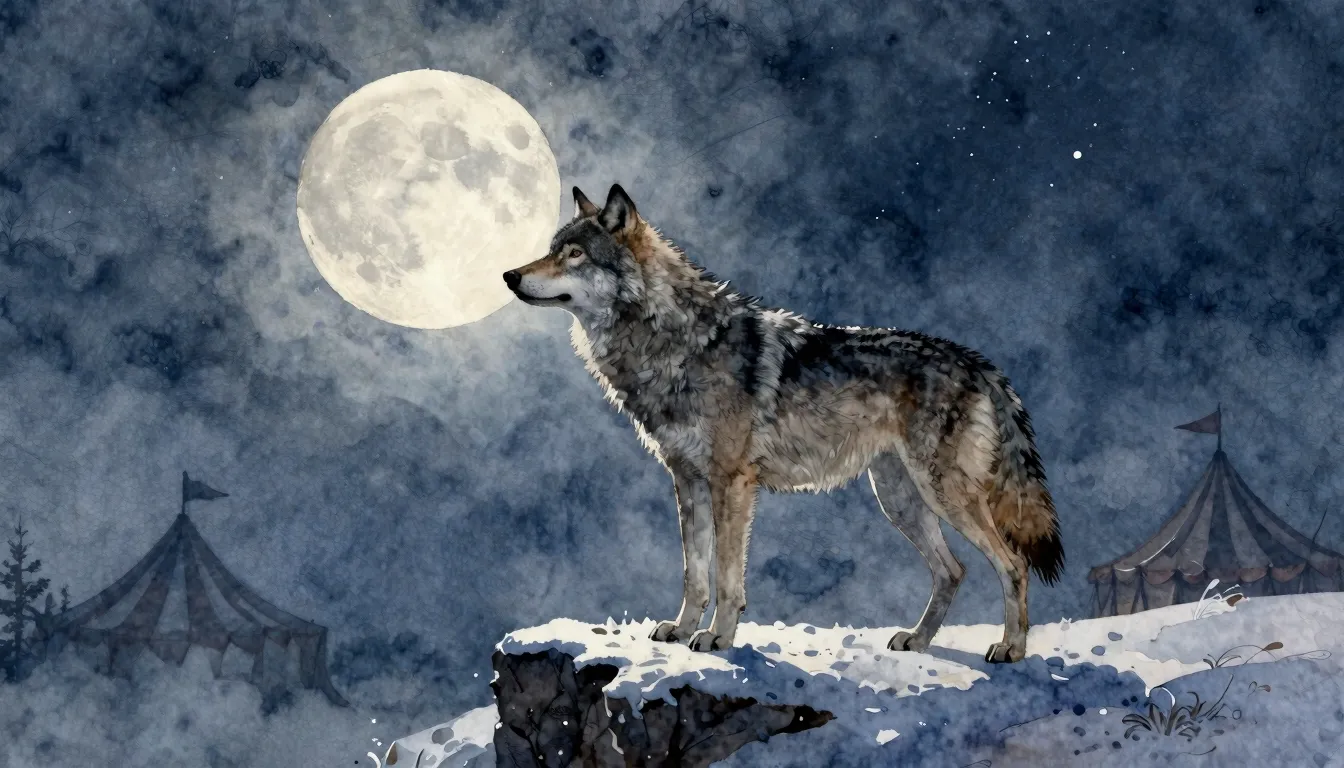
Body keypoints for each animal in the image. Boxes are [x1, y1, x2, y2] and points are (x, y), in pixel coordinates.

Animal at [503, 184, 1063, 663]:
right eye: (553, 250)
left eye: (575, 254)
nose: (509, 275)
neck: (676, 342)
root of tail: (978, 362)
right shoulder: (686, 481)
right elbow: (694, 573)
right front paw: (681, 630)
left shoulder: (731, 483)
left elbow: (726, 577)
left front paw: (717, 638)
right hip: (901, 500)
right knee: (953, 571)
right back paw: (918, 641)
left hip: (943, 494)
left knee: (1011, 565)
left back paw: (1011, 649)